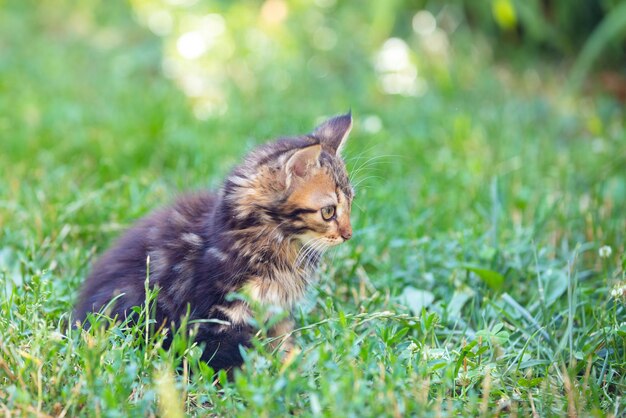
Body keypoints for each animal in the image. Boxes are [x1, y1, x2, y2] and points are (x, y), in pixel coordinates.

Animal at [74, 112, 352, 370]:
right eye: (328, 212)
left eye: (351, 203)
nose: (348, 234)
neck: (280, 246)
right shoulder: (215, 314)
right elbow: (227, 357)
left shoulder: (276, 311)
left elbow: (283, 344)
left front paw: (290, 367)